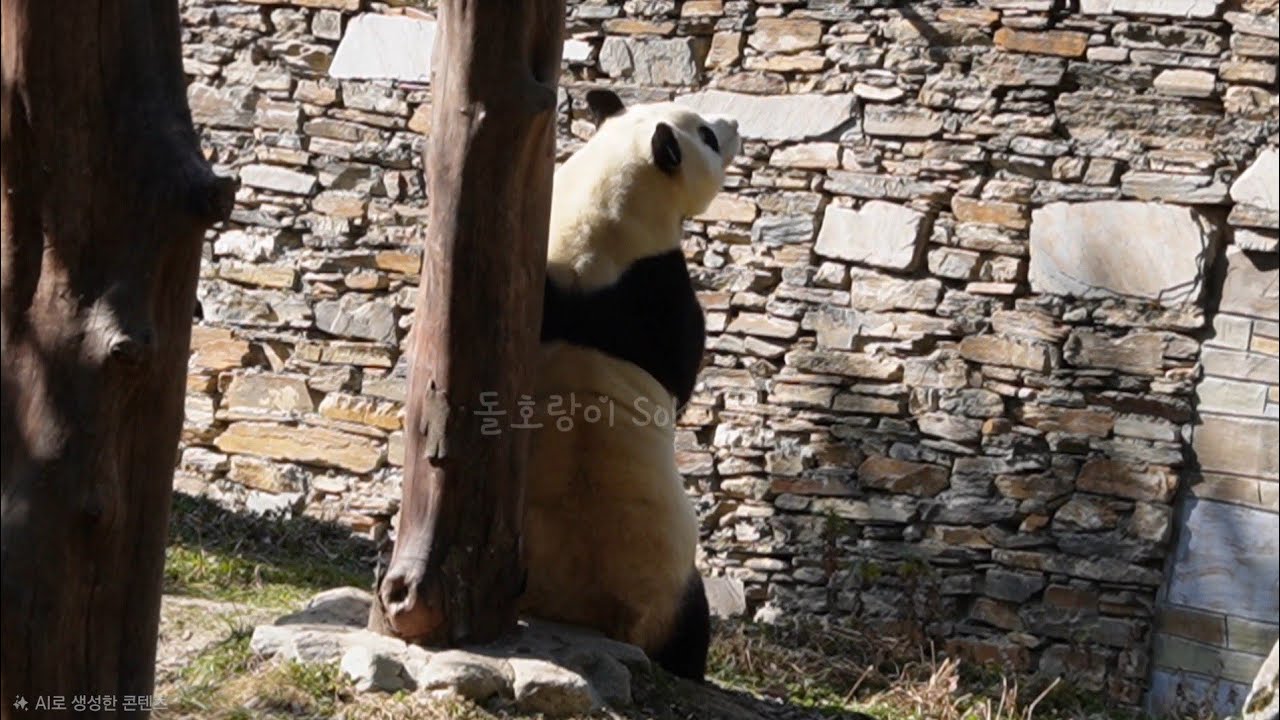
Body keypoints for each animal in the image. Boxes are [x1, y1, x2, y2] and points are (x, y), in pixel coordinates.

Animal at [519, 89, 740, 682]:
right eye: (706, 136)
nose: (734, 124)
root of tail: (590, 621)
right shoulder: (658, 288)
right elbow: (683, 366)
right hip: (673, 582)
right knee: (692, 629)